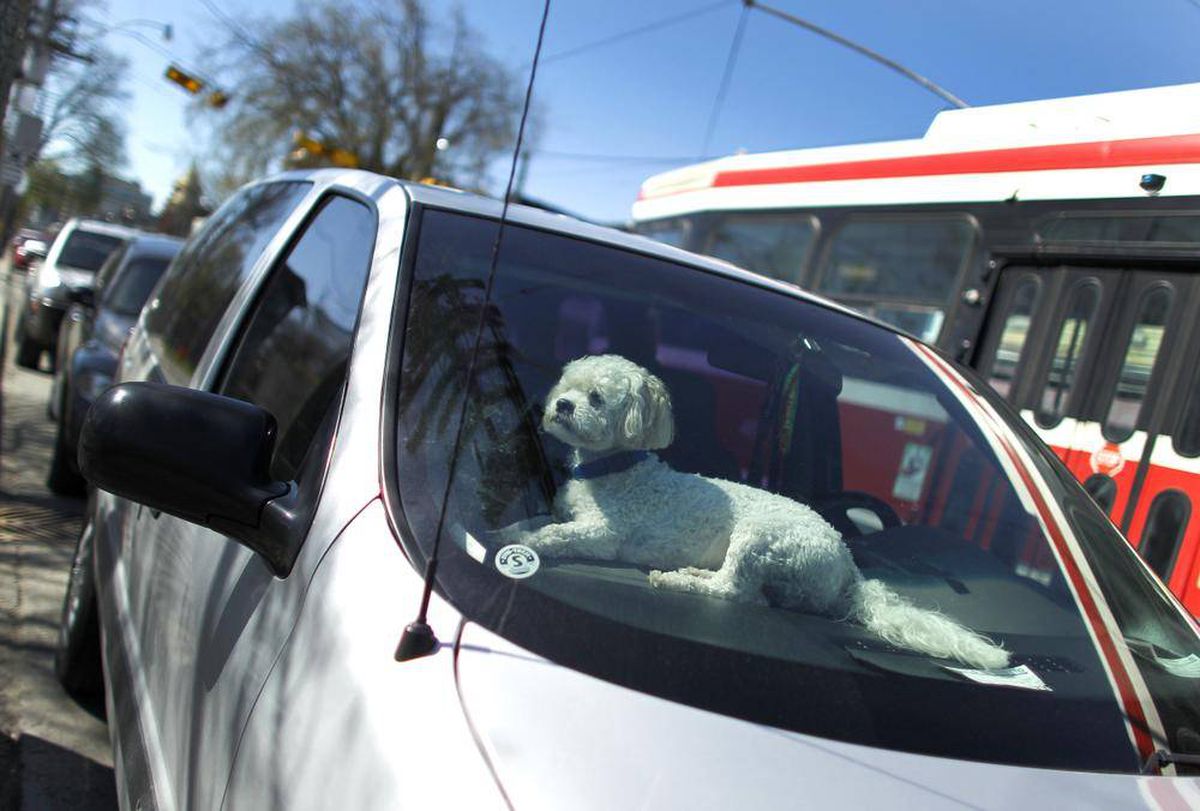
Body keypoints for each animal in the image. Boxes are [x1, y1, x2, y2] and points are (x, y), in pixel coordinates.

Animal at [496, 355, 1012, 671]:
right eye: (567, 387)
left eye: (597, 399)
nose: (561, 405)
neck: (614, 468)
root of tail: (847, 565)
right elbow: (536, 521)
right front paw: (511, 529)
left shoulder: (604, 535)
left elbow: (556, 535)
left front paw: (523, 544)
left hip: (759, 538)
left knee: (737, 593)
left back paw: (679, 579)